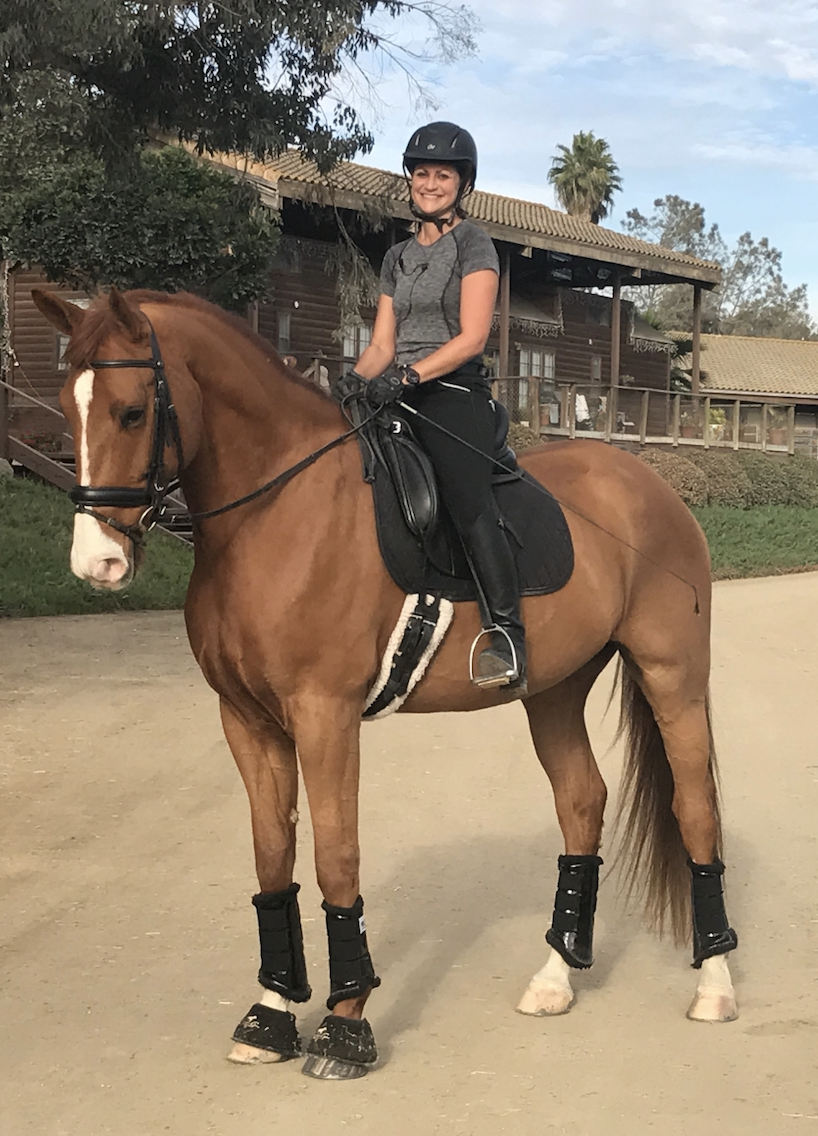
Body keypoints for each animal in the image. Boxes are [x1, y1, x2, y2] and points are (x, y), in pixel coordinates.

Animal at [32, 286, 738, 1080]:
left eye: (131, 411)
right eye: (65, 403)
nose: (97, 563)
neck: (277, 510)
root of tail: (652, 487)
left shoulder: (324, 715)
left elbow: (336, 858)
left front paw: (346, 1026)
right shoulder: (245, 719)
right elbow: (272, 857)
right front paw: (271, 1015)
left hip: (672, 677)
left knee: (696, 810)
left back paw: (715, 985)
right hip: (554, 690)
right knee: (582, 803)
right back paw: (556, 976)